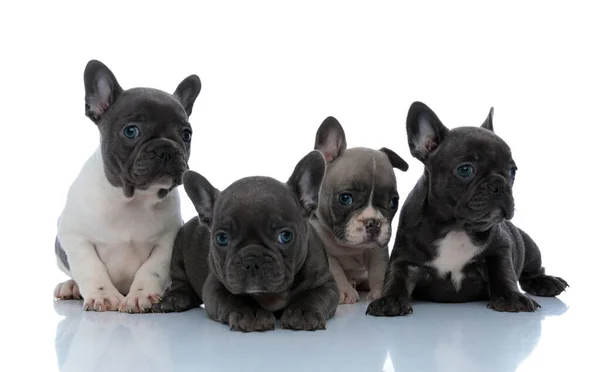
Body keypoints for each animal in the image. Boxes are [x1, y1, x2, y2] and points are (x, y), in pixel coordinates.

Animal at [53, 59, 202, 312]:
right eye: (131, 131)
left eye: (186, 134)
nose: (166, 149)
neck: (132, 200)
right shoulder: (74, 236)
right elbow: (90, 267)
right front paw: (102, 296)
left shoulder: (167, 241)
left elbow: (152, 269)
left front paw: (142, 296)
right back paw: (70, 286)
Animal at [152, 150, 340, 332]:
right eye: (222, 238)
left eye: (285, 236)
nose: (251, 260)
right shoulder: (215, 287)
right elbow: (234, 299)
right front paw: (252, 313)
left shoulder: (326, 284)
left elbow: (313, 296)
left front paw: (302, 312)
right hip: (177, 254)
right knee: (180, 283)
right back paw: (173, 299)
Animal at [312, 117, 410, 306]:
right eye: (345, 198)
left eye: (393, 202)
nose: (373, 222)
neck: (347, 246)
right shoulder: (326, 254)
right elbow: (336, 271)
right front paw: (344, 292)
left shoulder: (378, 251)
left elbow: (379, 269)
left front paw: (381, 290)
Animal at [366, 101, 568, 316]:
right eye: (465, 170)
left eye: (512, 171)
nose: (499, 184)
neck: (456, 228)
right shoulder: (404, 257)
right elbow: (396, 276)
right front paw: (390, 299)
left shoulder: (500, 249)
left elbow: (503, 272)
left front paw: (511, 296)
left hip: (529, 246)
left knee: (532, 272)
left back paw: (547, 282)